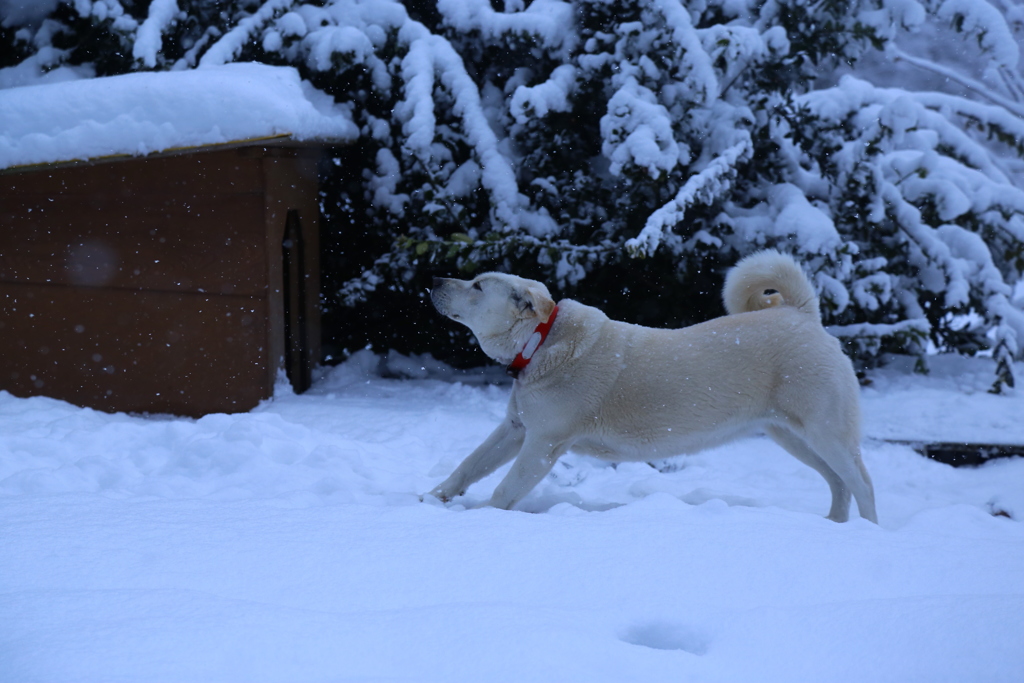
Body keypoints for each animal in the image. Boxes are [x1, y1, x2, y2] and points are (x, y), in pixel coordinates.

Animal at [428, 250, 876, 524]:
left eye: (479, 286)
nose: (433, 278)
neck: (539, 341)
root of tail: (801, 314)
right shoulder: (515, 429)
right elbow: (469, 465)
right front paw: (433, 499)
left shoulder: (542, 443)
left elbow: (504, 489)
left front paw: (482, 516)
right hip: (792, 436)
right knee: (838, 483)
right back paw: (834, 525)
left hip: (826, 430)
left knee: (862, 483)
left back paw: (868, 531)